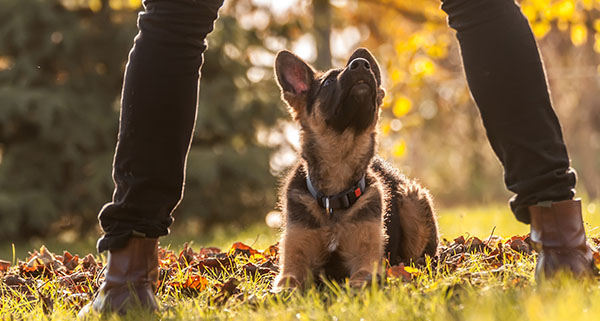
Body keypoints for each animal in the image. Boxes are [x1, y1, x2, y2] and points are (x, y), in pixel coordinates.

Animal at [274, 48, 438, 290]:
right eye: (327, 82)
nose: (361, 65)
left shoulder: (365, 259)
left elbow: (361, 279)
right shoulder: (293, 262)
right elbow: (287, 283)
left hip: (411, 198)